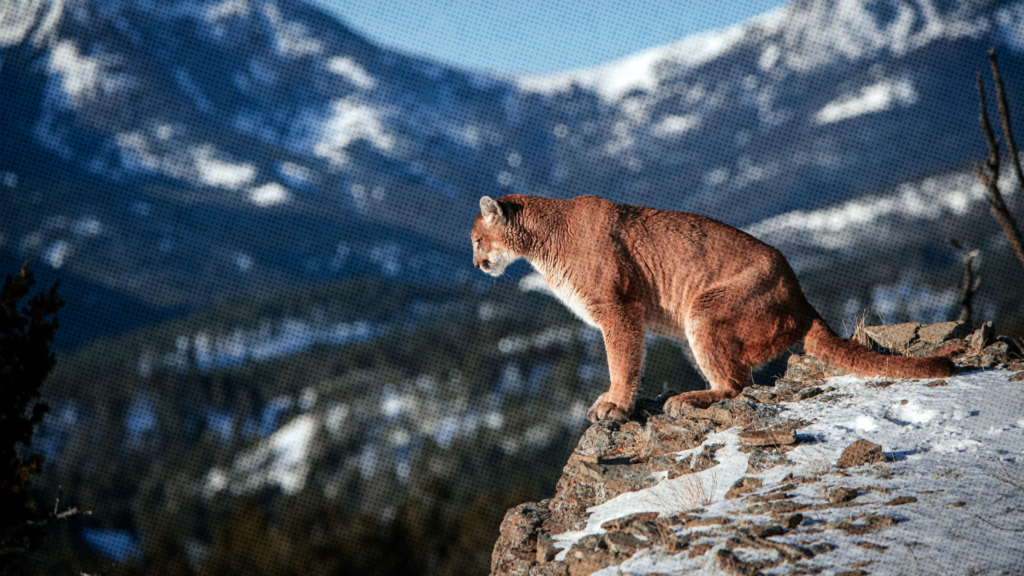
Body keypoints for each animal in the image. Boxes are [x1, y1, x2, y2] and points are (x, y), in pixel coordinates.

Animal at [471, 193, 950, 422]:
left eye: (476, 239)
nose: (476, 264)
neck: (542, 242)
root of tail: (801, 297)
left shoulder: (618, 310)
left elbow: (622, 360)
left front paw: (615, 405)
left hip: (704, 310)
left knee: (738, 384)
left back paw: (687, 399)